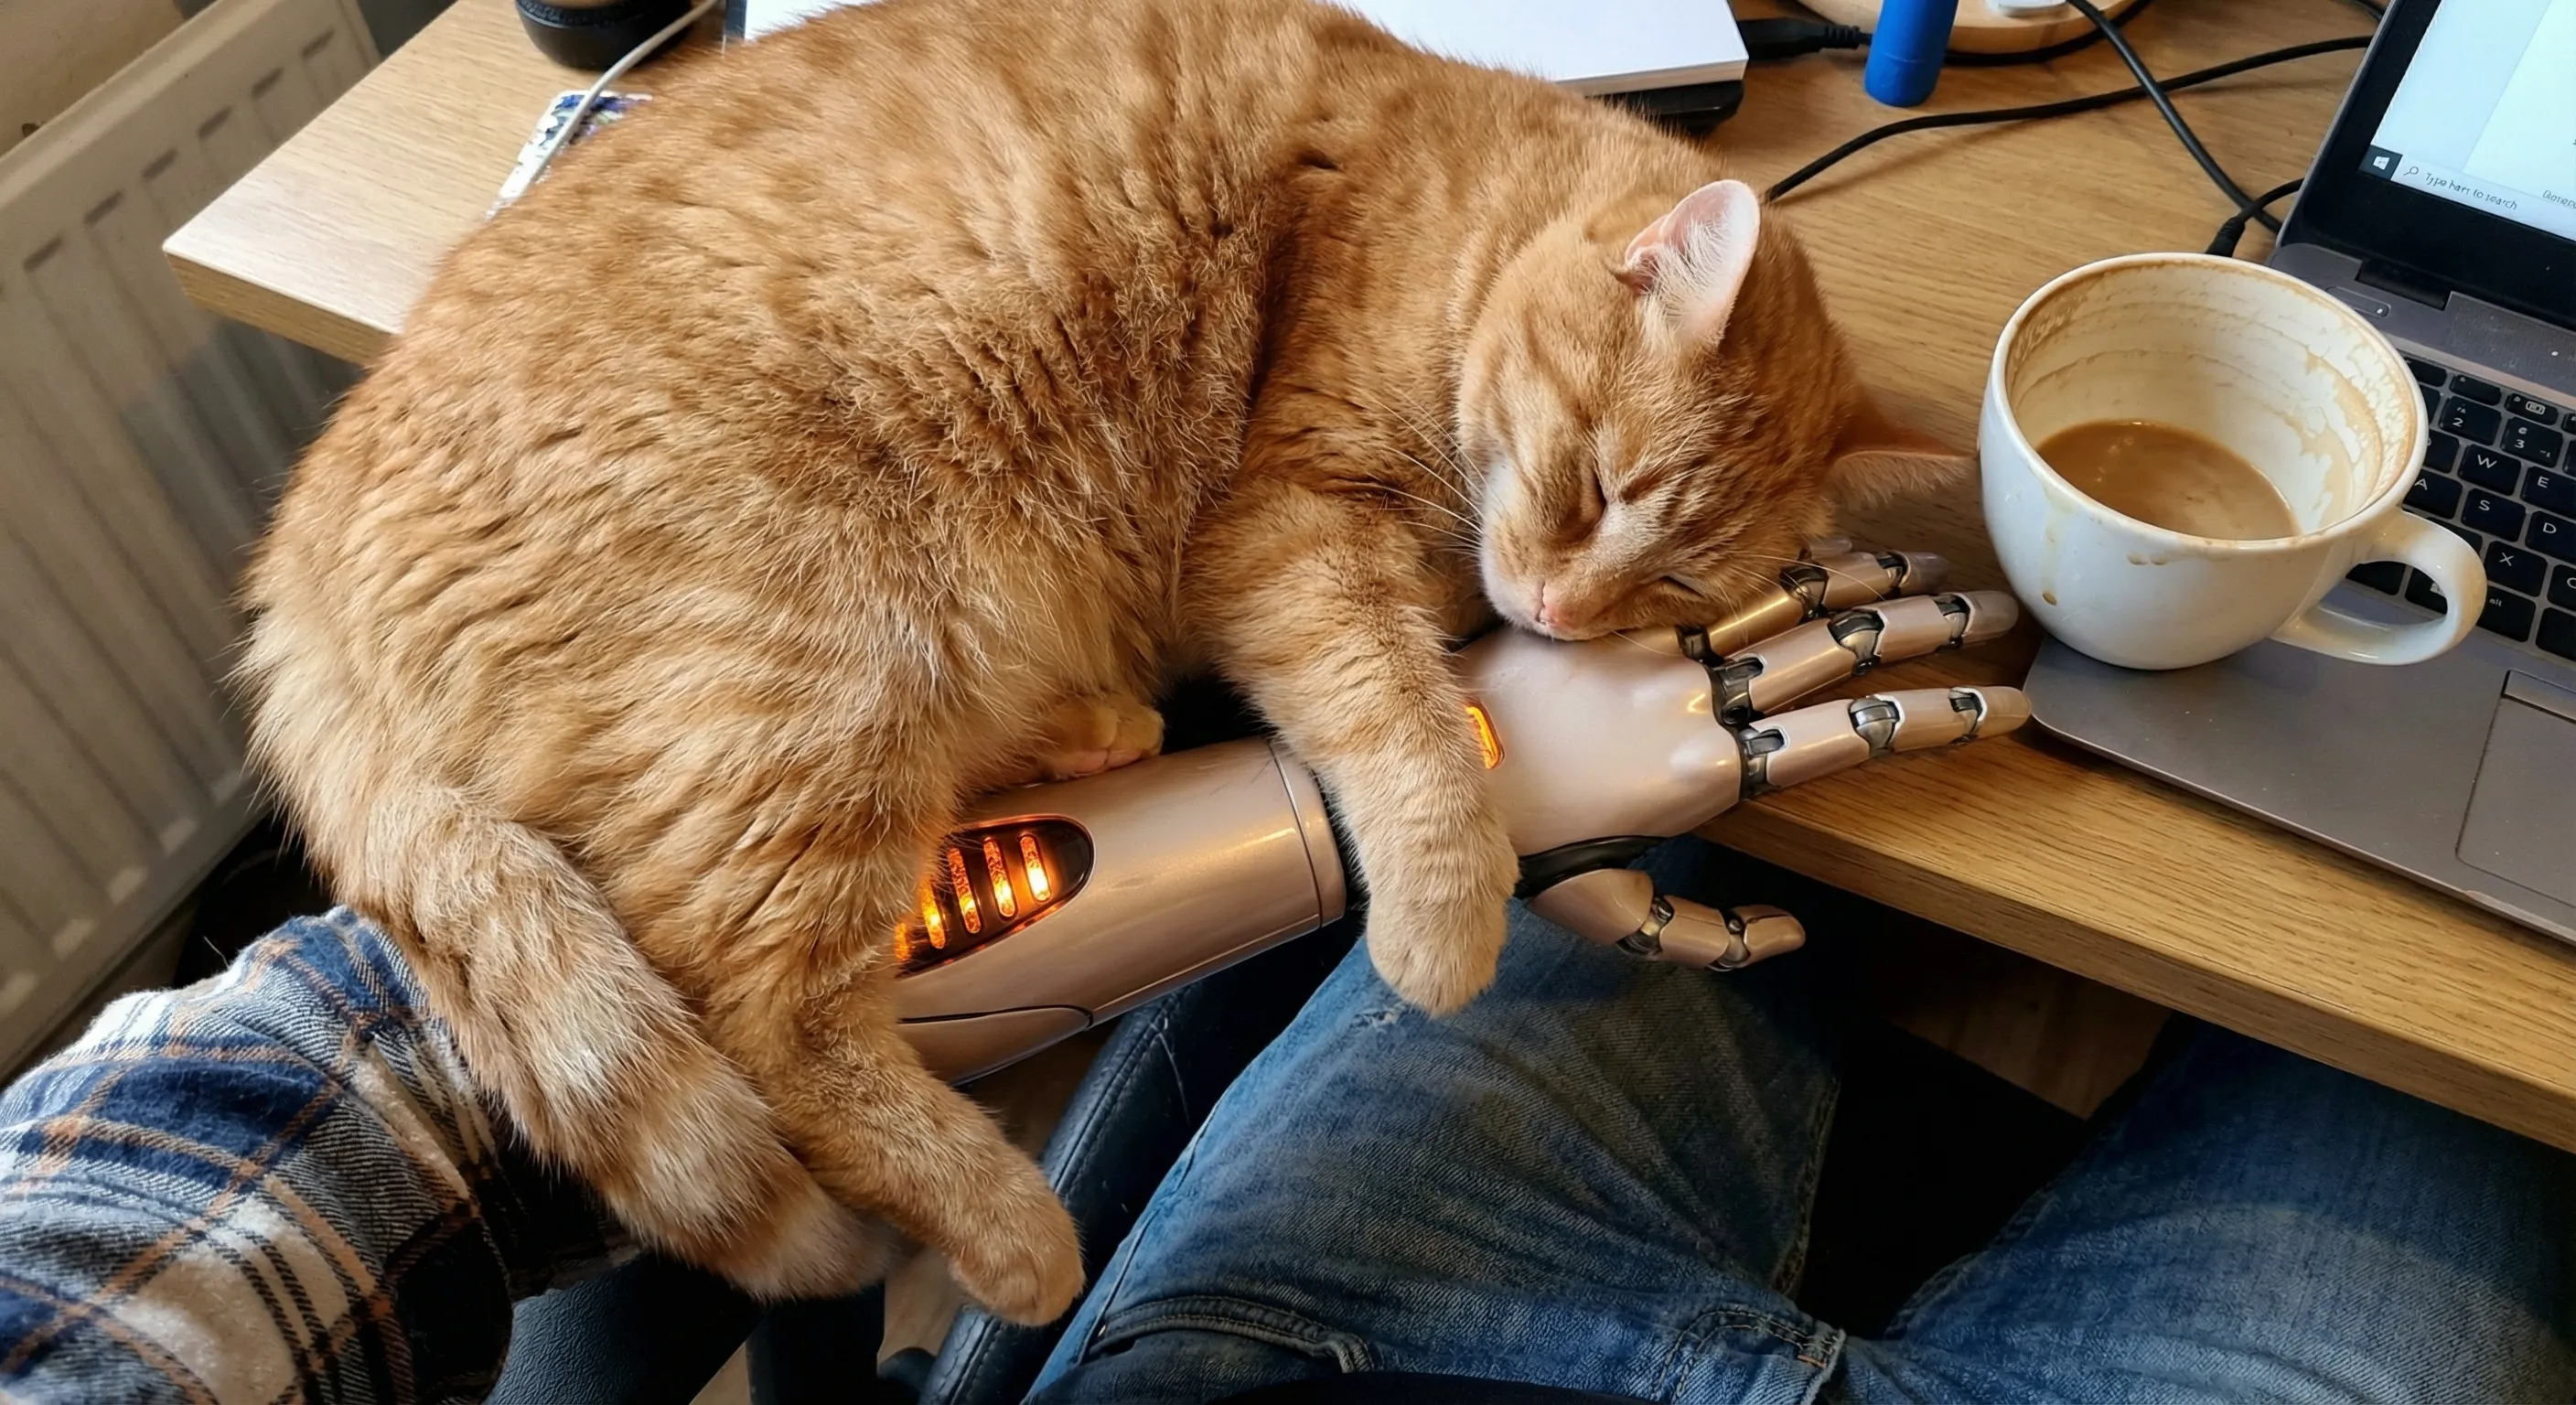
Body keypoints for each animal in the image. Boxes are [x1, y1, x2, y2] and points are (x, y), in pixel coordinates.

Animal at [240, 0, 1967, 1324]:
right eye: (1598, 487)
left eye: (1671, 574)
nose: (1553, 606)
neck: (1461, 213)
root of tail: (294, 569)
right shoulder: (1284, 531)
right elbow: (1405, 722)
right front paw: (1441, 918)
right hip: (819, 655)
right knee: (760, 1010)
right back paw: (1016, 1235)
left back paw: (1090, 729)